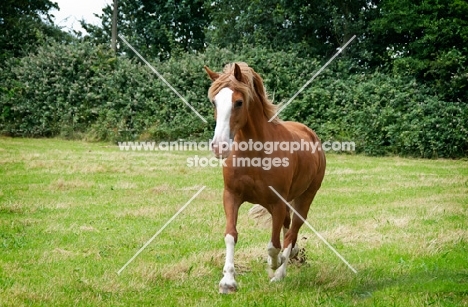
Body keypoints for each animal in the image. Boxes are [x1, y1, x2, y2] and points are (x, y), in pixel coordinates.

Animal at [205, 62, 326, 294]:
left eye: (239, 102)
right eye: (214, 101)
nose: (219, 146)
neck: (255, 154)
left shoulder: (277, 203)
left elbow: (273, 245)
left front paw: (275, 264)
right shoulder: (231, 196)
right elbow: (231, 235)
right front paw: (228, 282)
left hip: (306, 197)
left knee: (292, 231)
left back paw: (280, 273)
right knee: (289, 230)